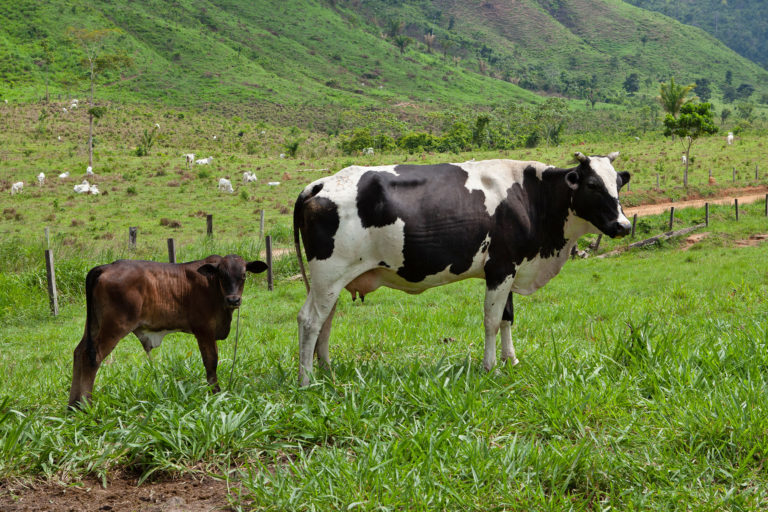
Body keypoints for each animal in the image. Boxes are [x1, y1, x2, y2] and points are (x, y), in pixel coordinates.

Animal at [69, 256, 268, 408]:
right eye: (222, 275)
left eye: (243, 275)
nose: (233, 300)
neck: (212, 287)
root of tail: (106, 266)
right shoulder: (204, 330)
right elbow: (211, 362)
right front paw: (216, 395)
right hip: (114, 326)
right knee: (92, 357)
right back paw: (86, 406)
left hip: (94, 324)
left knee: (79, 353)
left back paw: (73, 406)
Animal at [294, 151, 632, 384]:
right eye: (592, 184)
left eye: (618, 183)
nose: (624, 226)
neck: (531, 196)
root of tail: (320, 183)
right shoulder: (501, 267)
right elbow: (492, 321)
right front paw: (490, 367)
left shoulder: (510, 267)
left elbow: (508, 317)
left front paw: (512, 361)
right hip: (328, 273)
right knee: (310, 320)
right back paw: (307, 379)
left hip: (333, 280)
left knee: (325, 320)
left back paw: (327, 370)